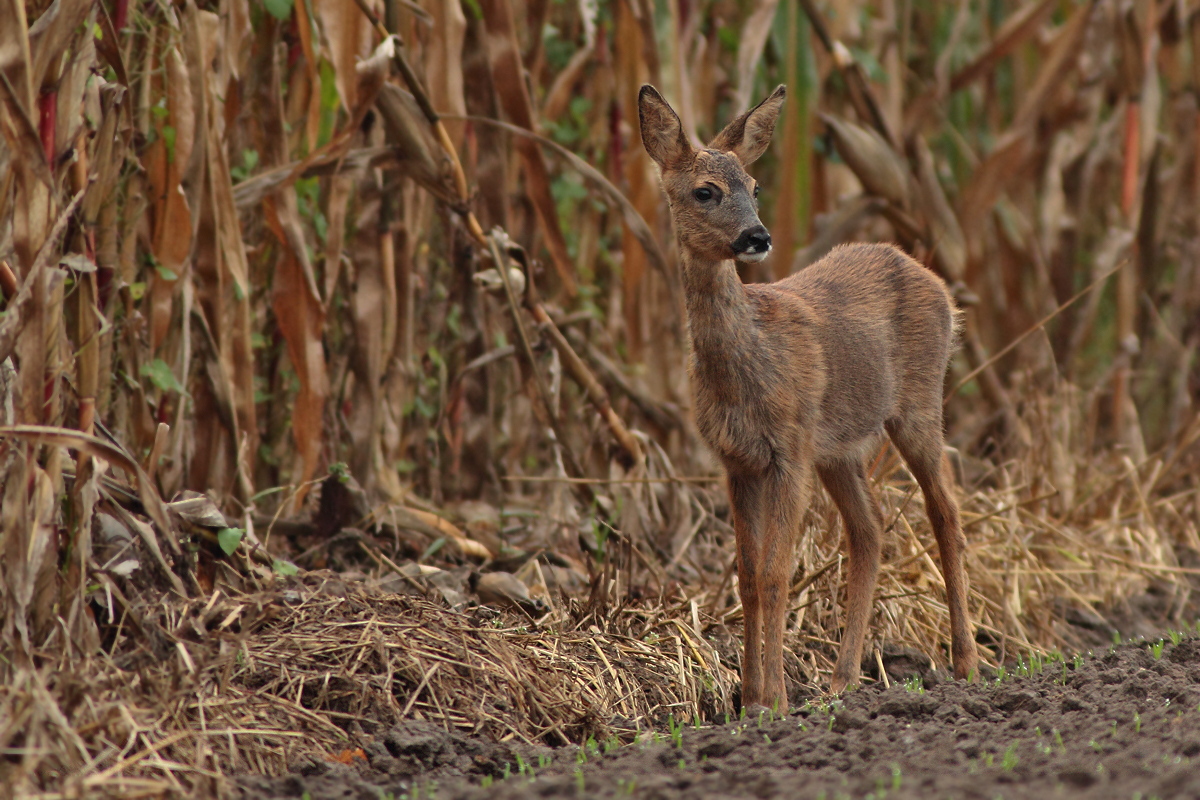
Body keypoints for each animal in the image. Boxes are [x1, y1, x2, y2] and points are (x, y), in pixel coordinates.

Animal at [638, 84, 974, 710]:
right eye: (705, 190)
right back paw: (842, 679)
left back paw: (965, 662)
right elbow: (747, 575)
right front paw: (748, 697)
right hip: (839, 448)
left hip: (916, 405)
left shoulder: (789, 449)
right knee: (870, 527)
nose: (757, 237)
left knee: (945, 511)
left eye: (755, 186)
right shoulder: (737, 461)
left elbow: (776, 573)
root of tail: (939, 284)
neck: (747, 363)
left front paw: (772, 698)